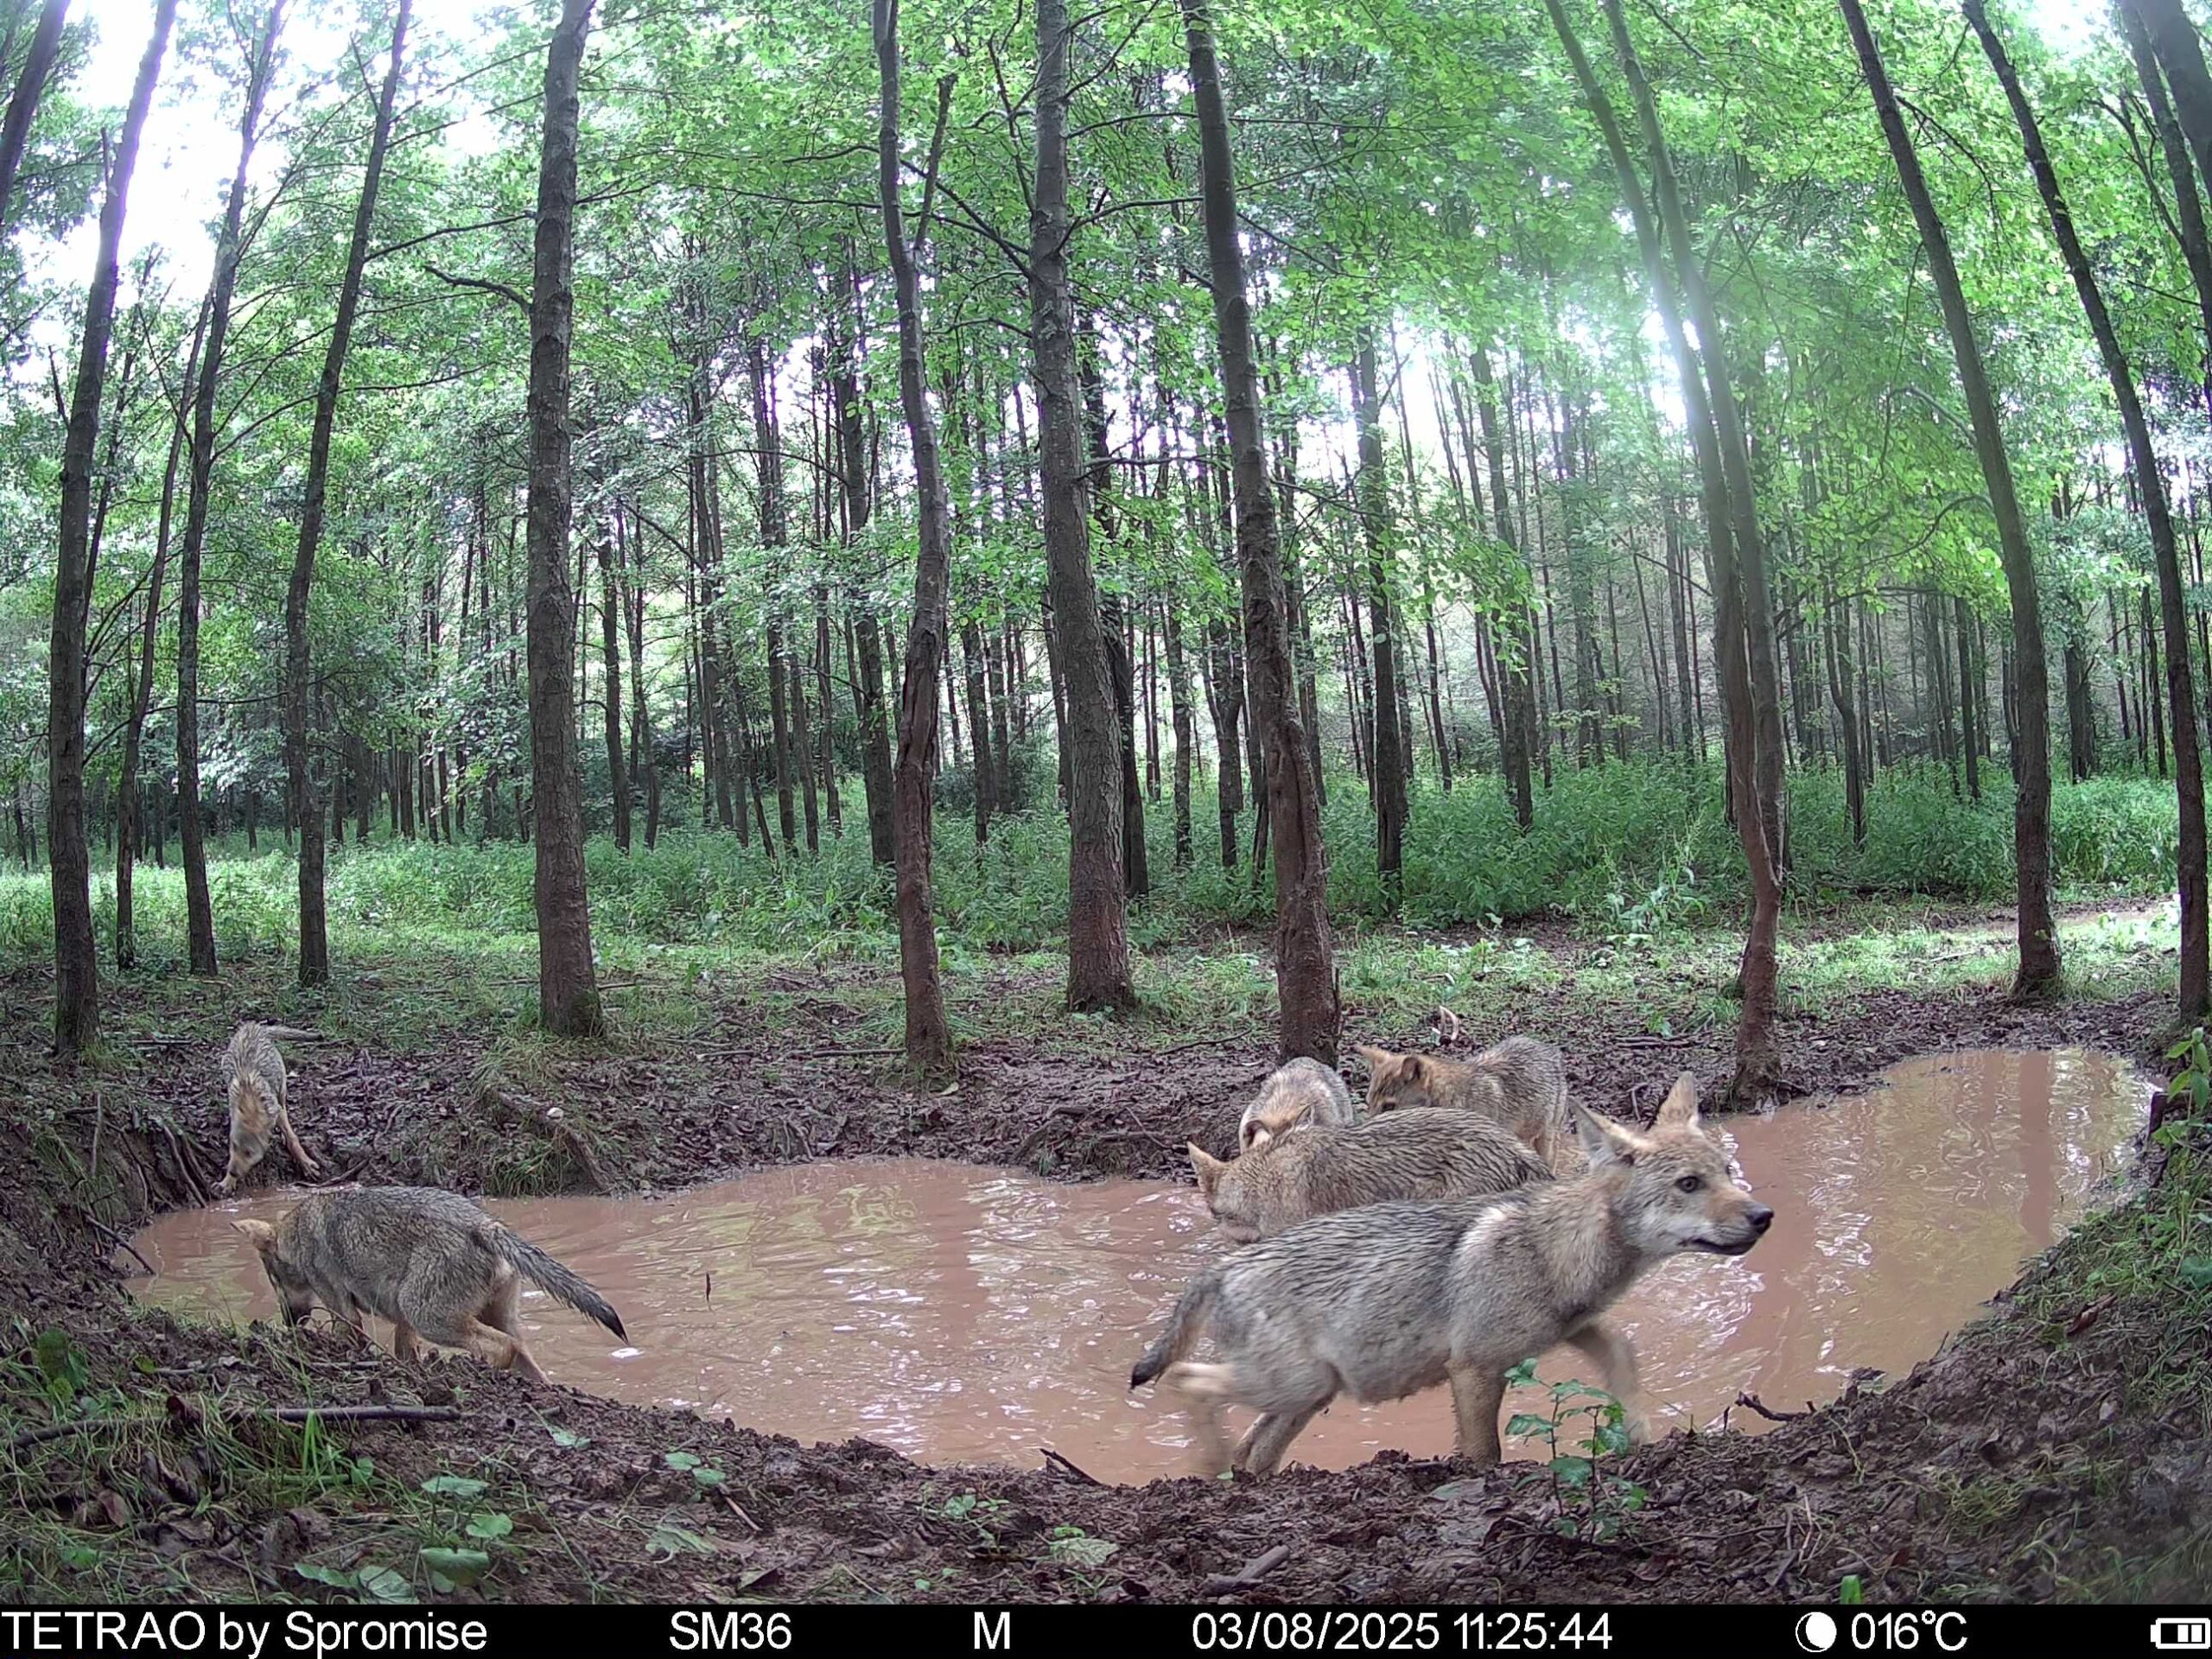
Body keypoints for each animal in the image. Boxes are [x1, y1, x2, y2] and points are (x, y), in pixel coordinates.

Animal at [219, 1022, 323, 1193]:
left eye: (249, 1153)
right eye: (233, 1146)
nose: (232, 1172)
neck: (250, 1103)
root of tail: (253, 1025)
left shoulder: (277, 1113)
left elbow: (293, 1139)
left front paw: (306, 1164)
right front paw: (227, 1182)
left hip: (282, 1085)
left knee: (284, 1102)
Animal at [234, 1185, 627, 1386]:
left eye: (273, 1281)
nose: (289, 1324)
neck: (296, 1233)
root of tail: (486, 1227)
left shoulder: (343, 1310)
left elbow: (350, 1338)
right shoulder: (402, 1320)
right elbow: (405, 1353)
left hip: (433, 1319)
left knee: (502, 1347)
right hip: (478, 1317)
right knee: (525, 1357)